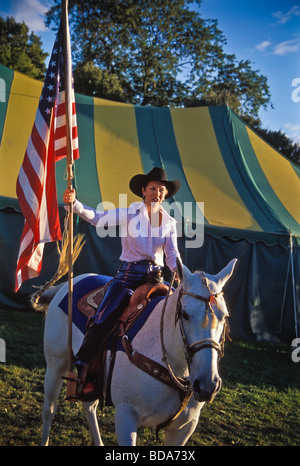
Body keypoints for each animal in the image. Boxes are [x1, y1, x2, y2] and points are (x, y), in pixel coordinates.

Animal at [39, 256, 237, 446]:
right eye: (185, 315)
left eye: (225, 316)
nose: (207, 385)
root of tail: (71, 282)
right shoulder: (126, 417)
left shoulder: (184, 428)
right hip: (56, 363)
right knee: (50, 409)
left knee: (89, 405)